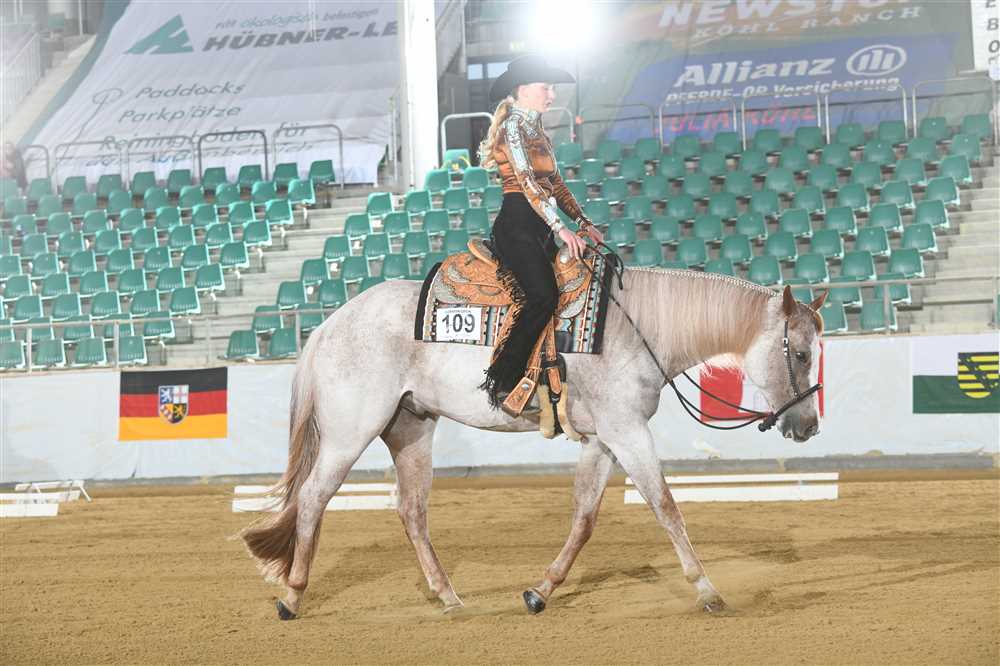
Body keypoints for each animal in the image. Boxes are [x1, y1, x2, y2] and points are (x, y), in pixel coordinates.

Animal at [241, 267, 826, 620]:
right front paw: (706, 589)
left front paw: (541, 591)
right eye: (799, 353)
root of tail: (328, 325)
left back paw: (449, 596)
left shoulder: (603, 439)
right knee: (313, 498)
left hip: (411, 429)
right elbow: (665, 506)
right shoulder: (627, 432)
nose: (809, 426)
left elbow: (585, 517)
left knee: (411, 511)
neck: (636, 331)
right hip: (349, 433)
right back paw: (292, 595)